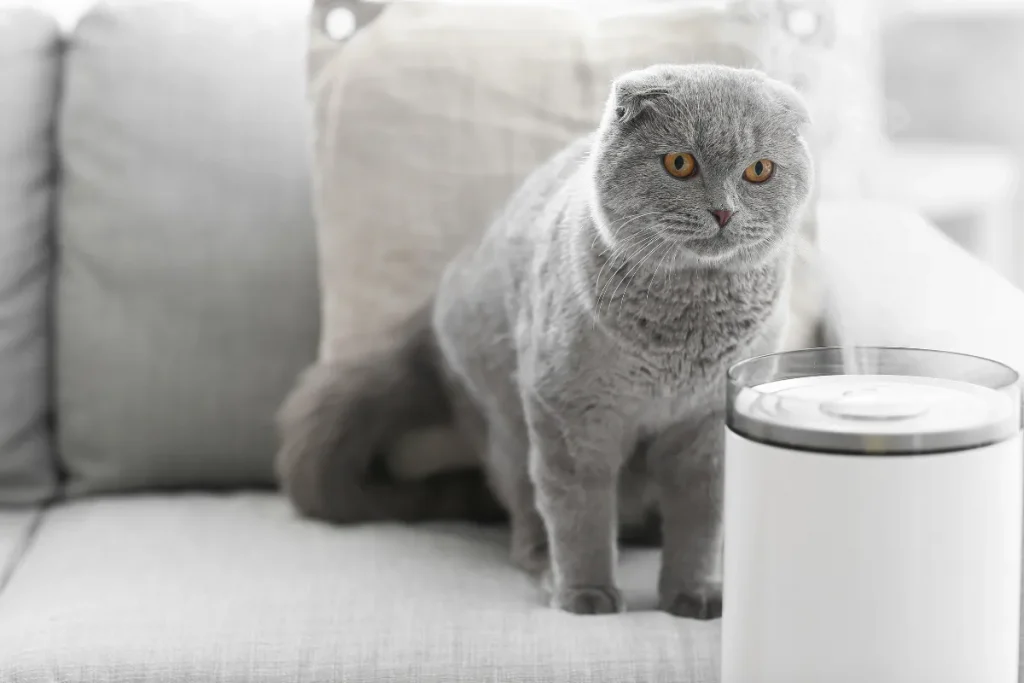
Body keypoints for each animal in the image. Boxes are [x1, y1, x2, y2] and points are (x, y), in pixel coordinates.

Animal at [274, 62, 815, 618]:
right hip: (508, 423)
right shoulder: (571, 414)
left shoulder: (705, 426)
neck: (684, 335)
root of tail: (439, 297)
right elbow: (580, 514)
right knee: (529, 505)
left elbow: (701, 518)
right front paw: (585, 595)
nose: (724, 211)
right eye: (680, 163)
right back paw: (545, 565)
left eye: (759, 170)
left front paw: (696, 594)